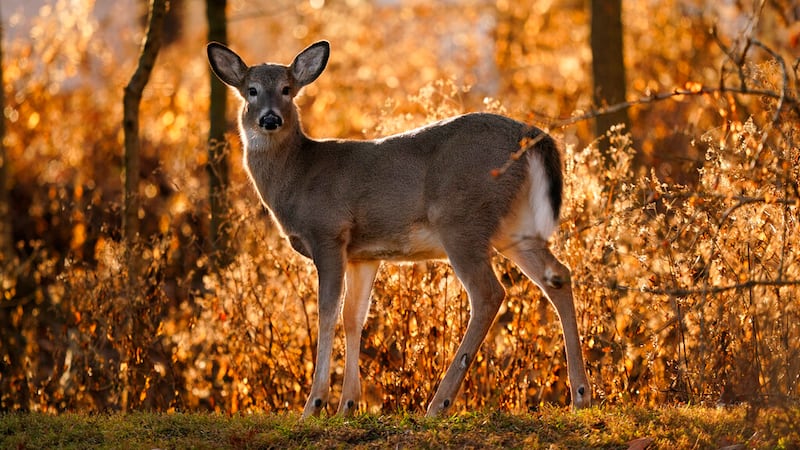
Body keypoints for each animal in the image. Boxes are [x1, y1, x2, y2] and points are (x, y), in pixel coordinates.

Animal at [206, 40, 591, 419]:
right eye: (251, 90)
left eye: (287, 89)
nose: (270, 118)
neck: (298, 177)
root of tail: (534, 136)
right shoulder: (363, 254)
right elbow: (353, 317)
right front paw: (348, 405)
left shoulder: (328, 233)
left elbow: (326, 315)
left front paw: (313, 405)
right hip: (514, 226)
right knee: (558, 275)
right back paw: (581, 394)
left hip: (461, 219)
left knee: (489, 293)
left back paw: (439, 404)